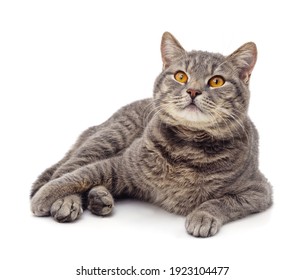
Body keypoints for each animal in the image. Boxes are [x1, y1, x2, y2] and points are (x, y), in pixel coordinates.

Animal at [31, 31, 274, 237]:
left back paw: (99, 197)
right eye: (181, 76)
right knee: (66, 167)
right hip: (109, 137)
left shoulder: (258, 191)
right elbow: (80, 175)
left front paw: (203, 216)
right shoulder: (123, 165)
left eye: (217, 81)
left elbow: (223, 202)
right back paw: (68, 201)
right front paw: (47, 195)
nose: (193, 91)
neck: (188, 148)